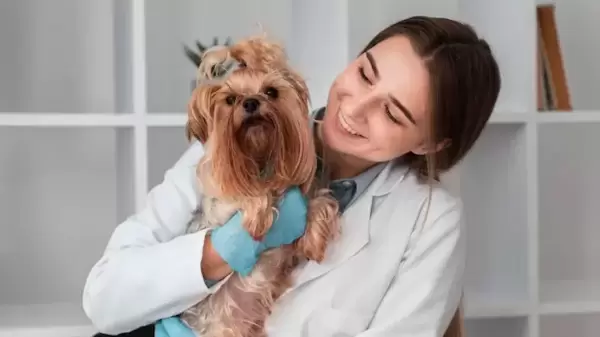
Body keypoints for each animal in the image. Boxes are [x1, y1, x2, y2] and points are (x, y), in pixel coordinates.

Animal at [180, 36, 342, 336]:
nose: (252, 102)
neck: (259, 158)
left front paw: (314, 239)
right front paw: (259, 215)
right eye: (231, 99)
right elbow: (250, 194)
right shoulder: (221, 209)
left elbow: (320, 201)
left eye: (271, 92)